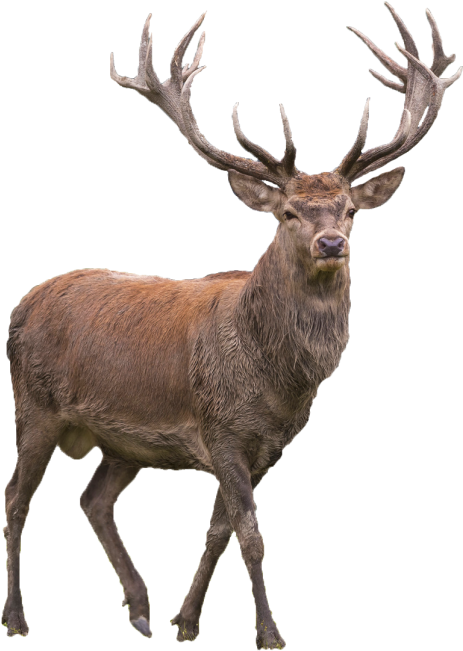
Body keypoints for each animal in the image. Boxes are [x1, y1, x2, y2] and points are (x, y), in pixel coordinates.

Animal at [3, 3, 460, 647]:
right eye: (288, 212)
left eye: (350, 210)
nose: (331, 242)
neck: (275, 381)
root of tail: (22, 304)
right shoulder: (219, 430)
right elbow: (251, 533)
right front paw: (269, 632)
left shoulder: (268, 446)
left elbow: (220, 530)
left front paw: (186, 621)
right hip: (34, 407)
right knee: (16, 501)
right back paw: (17, 617)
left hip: (123, 443)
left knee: (92, 499)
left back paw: (139, 609)